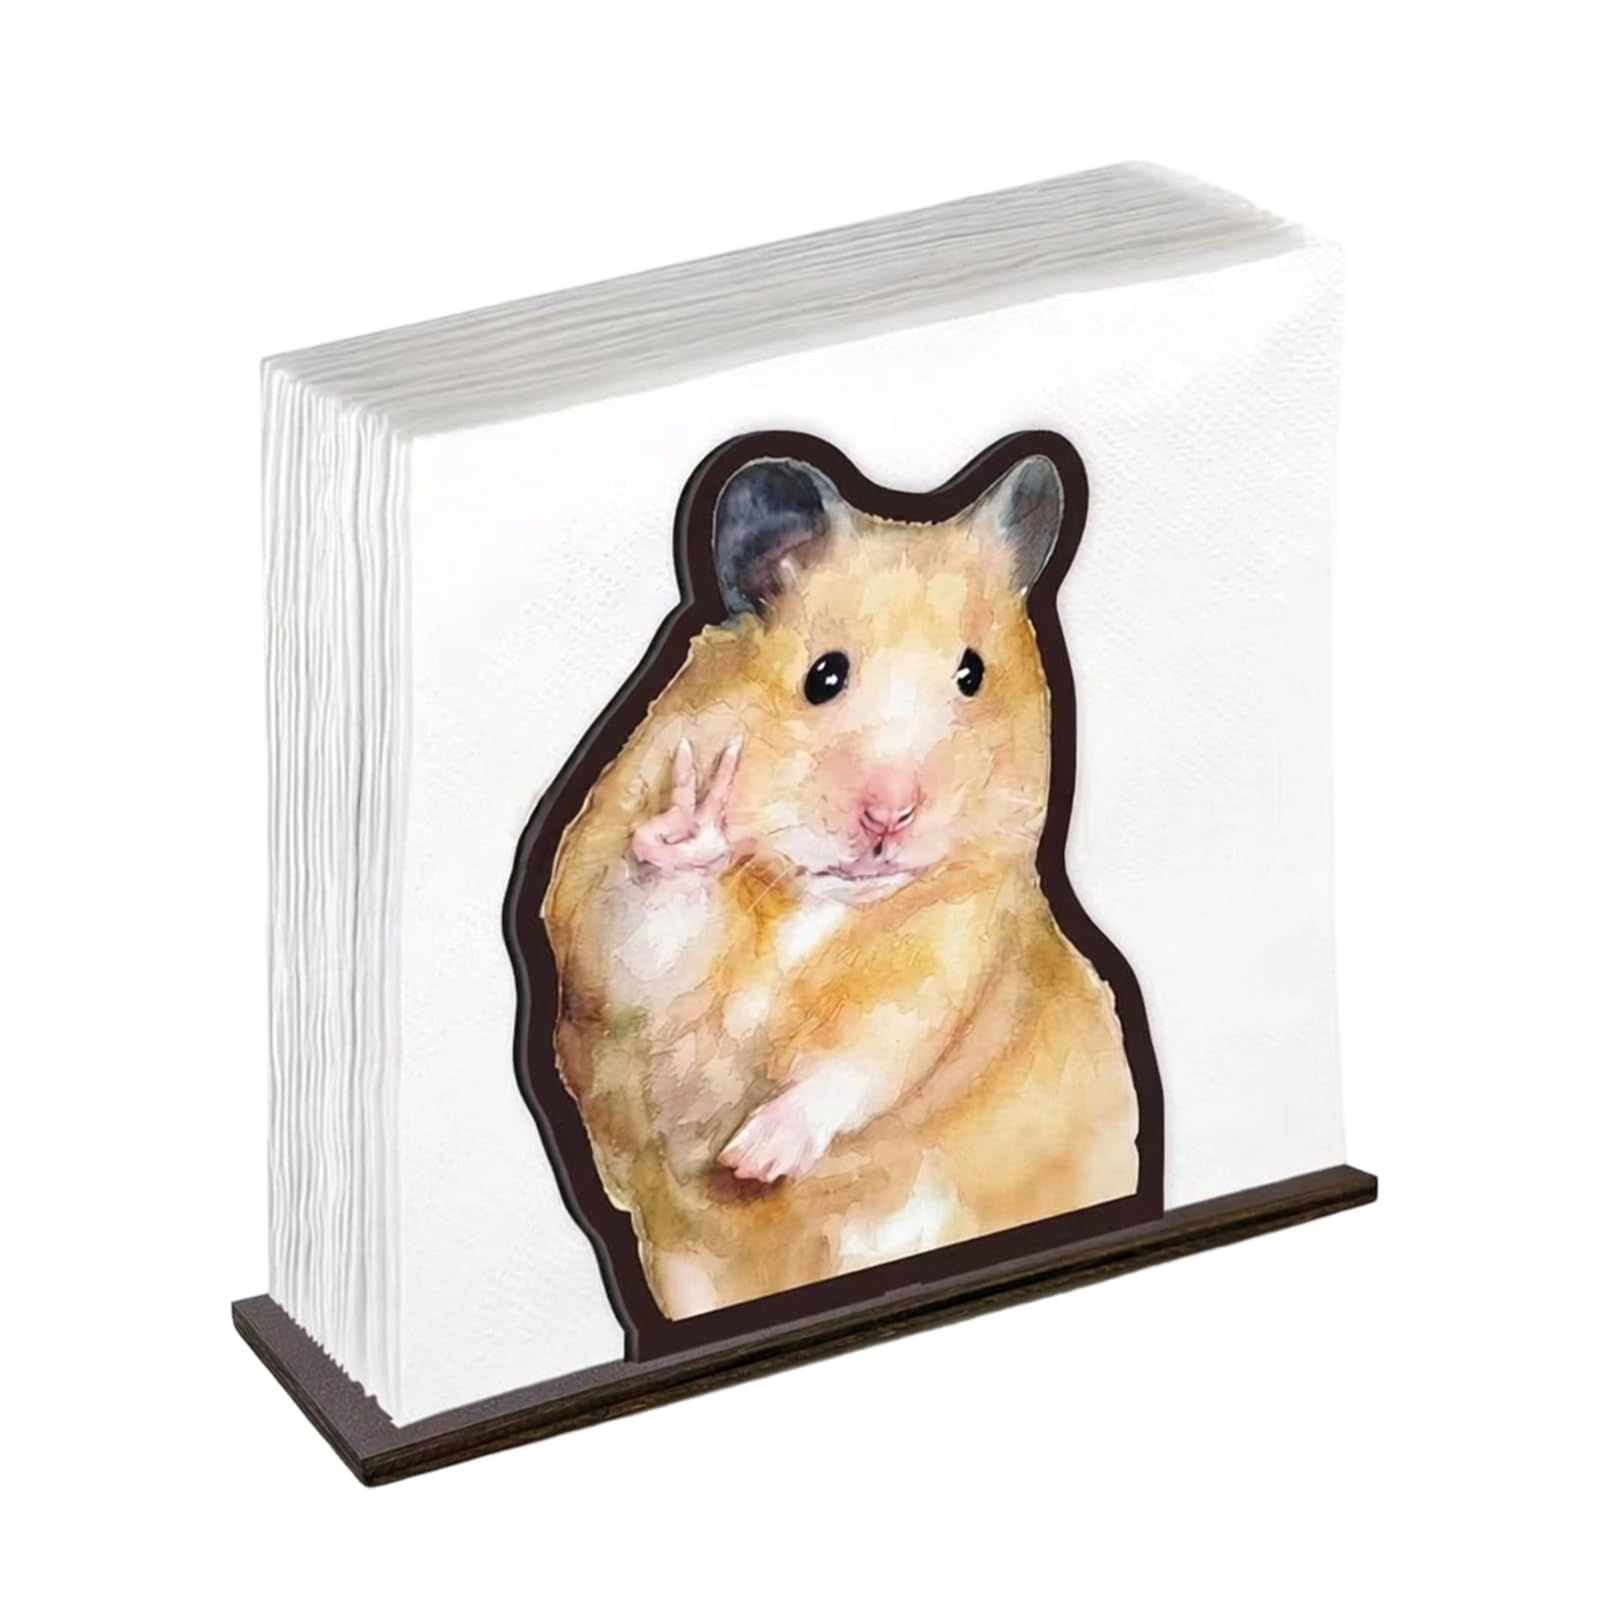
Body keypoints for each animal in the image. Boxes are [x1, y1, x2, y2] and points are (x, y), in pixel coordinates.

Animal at [542, 451, 1139, 1318]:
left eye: (972, 674)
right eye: (824, 676)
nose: (890, 815)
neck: (817, 901)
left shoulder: (950, 952)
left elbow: (867, 1052)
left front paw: (755, 1156)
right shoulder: (601, 937)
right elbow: (641, 938)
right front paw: (695, 818)